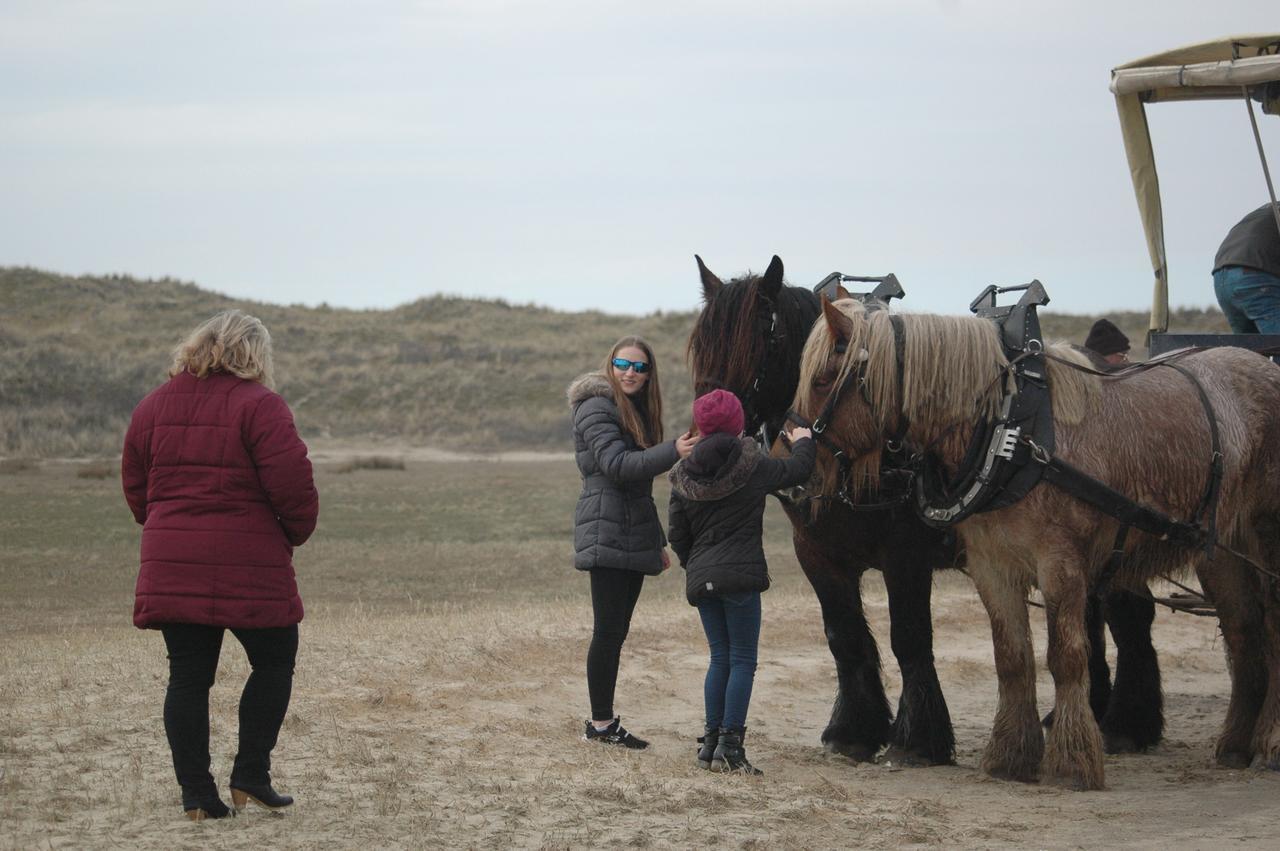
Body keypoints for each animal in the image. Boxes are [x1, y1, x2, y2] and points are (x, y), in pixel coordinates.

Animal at [793, 295, 1280, 788]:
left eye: (822, 379)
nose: (794, 463)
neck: (1011, 432)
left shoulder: (1057, 564)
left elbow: (1065, 656)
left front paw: (1072, 761)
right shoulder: (992, 566)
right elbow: (1011, 658)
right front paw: (1010, 756)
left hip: (1265, 539)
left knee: (1270, 627)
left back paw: (1268, 743)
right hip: (1220, 551)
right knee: (1244, 632)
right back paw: (1237, 743)